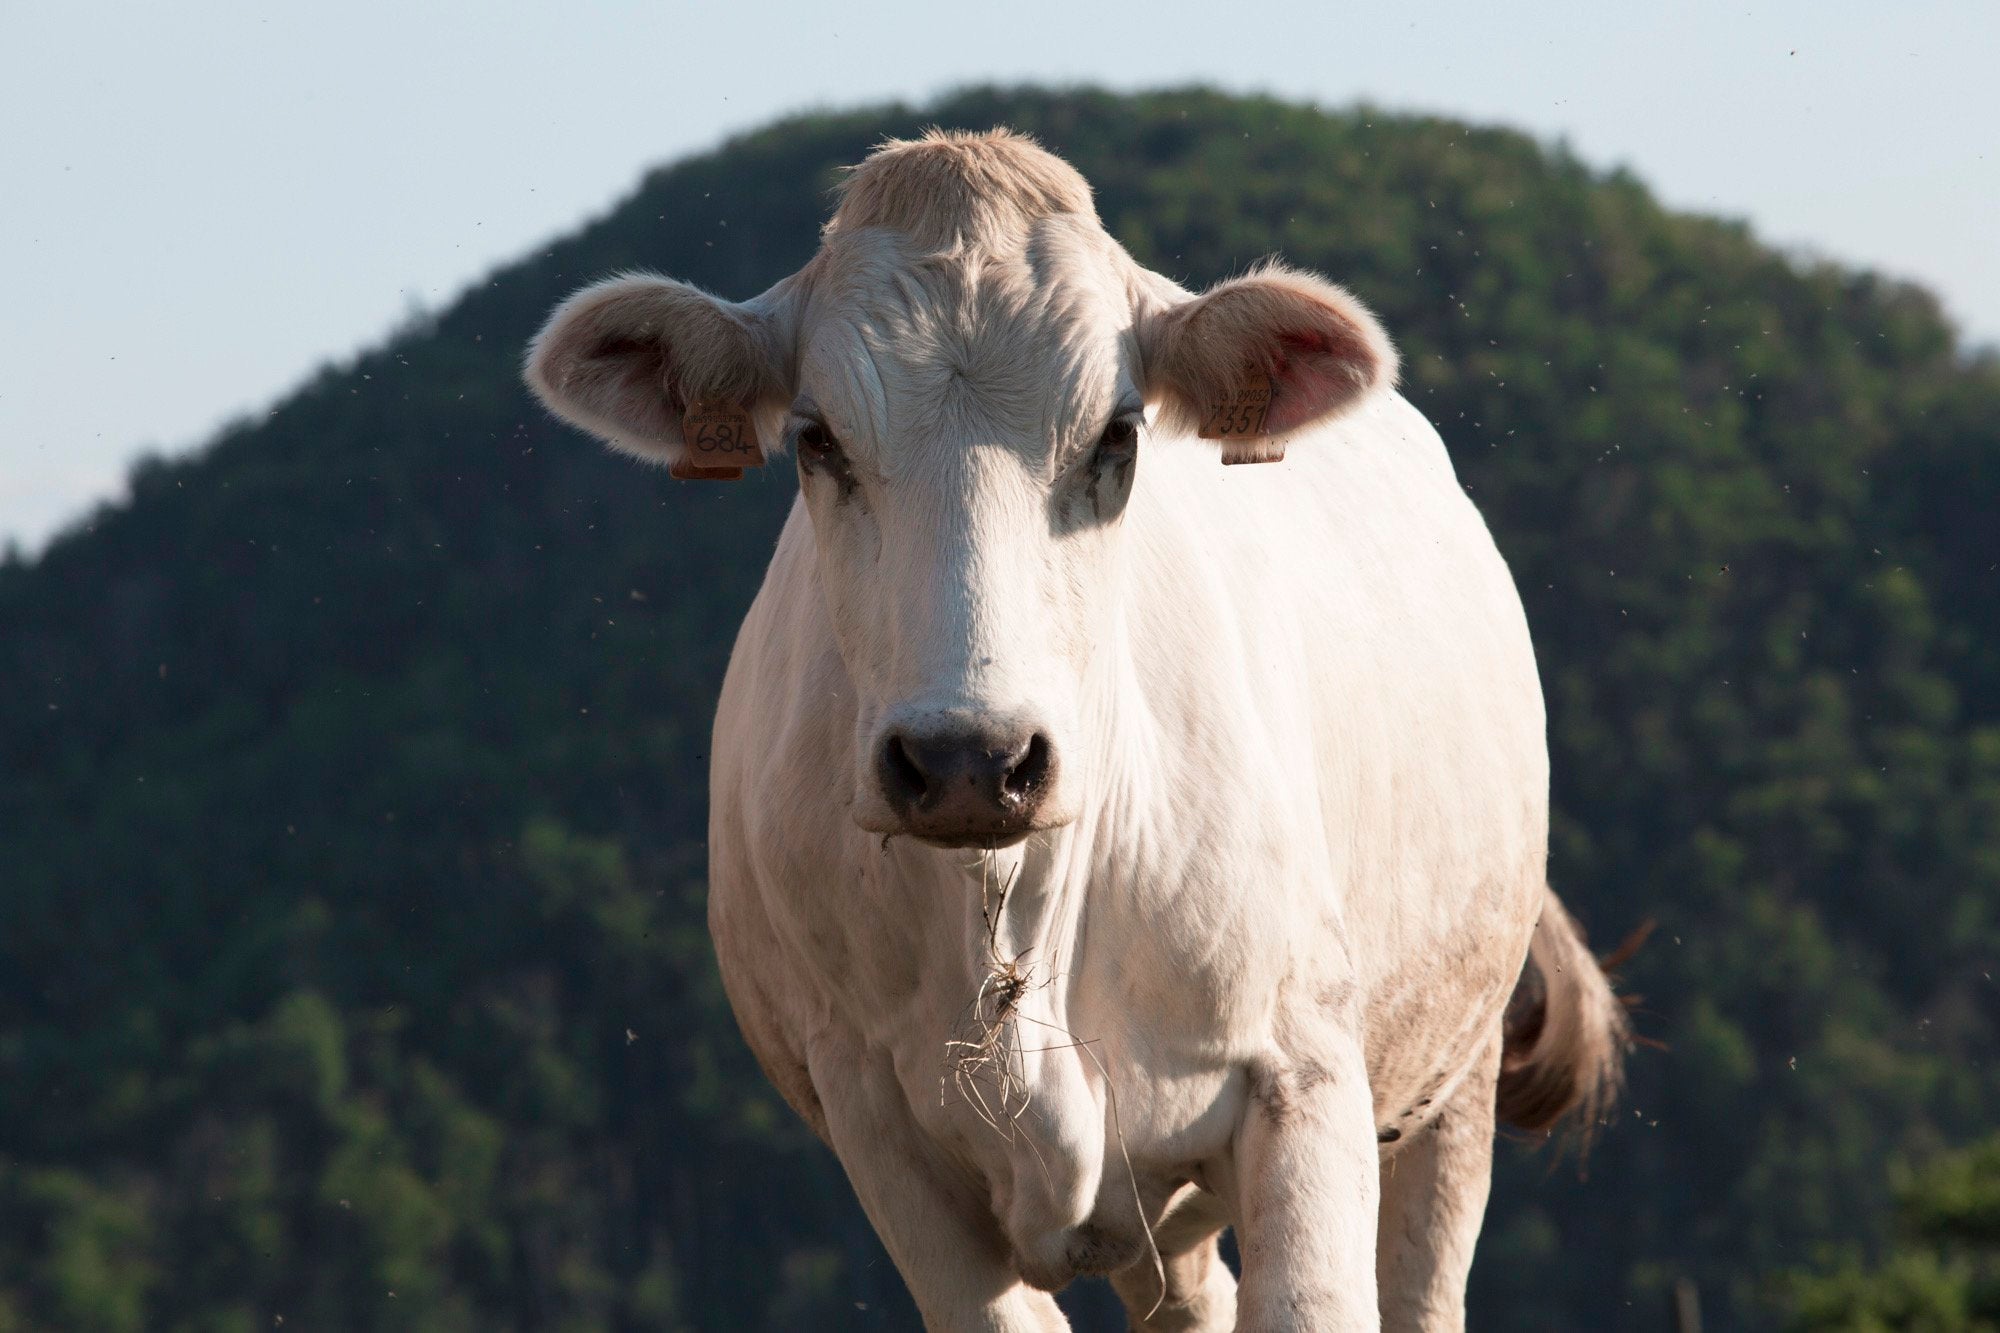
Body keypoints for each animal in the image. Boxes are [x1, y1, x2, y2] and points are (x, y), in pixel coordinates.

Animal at [528, 127, 1624, 1328]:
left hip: (1452, 1074)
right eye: (817, 439)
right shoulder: (878, 1131)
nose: (970, 759)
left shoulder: (1307, 1074)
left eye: (1118, 434)